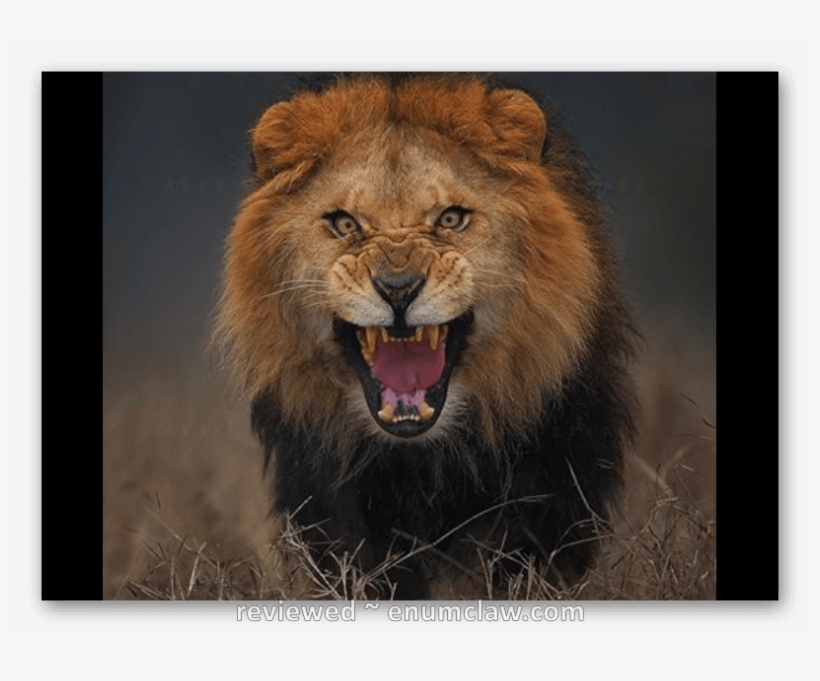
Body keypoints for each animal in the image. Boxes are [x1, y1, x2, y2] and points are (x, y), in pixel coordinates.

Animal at [217, 74, 638, 599]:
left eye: (451, 218)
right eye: (345, 223)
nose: (398, 289)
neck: (424, 461)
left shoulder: (552, 488)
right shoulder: (331, 504)